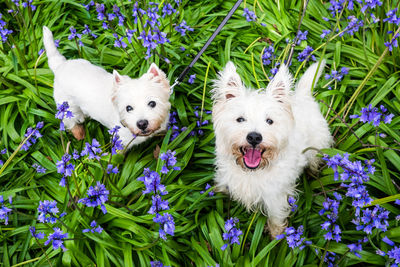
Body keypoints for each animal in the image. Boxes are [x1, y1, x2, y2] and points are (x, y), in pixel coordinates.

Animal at [42, 26, 170, 149]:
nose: (142, 124)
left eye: (152, 103)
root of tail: (60, 65)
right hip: (67, 107)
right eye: (128, 108)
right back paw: (80, 134)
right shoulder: (120, 142)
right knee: (71, 122)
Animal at [212, 61, 332, 239]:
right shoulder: (226, 179)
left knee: (314, 161)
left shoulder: (276, 198)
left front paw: (277, 238)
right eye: (240, 119)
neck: (251, 172)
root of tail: (304, 96)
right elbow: (221, 187)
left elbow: (276, 218)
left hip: (316, 147)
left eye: (269, 121)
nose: (254, 137)